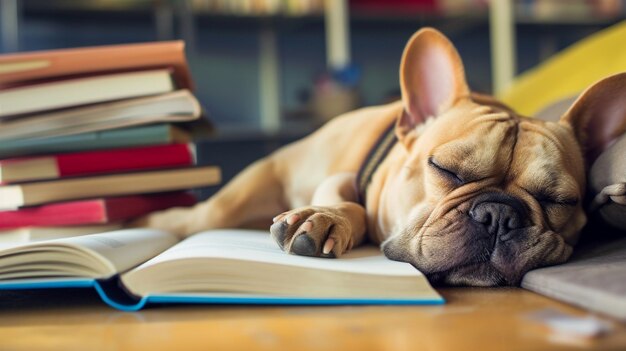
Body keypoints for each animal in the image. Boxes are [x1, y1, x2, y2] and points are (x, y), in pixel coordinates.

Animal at [135, 28, 624, 288]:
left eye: (560, 201)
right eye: (444, 169)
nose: (498, 215)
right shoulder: (343, 178)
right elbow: (345, 200)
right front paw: (325, 217)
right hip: (243, 193)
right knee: (201, 215)